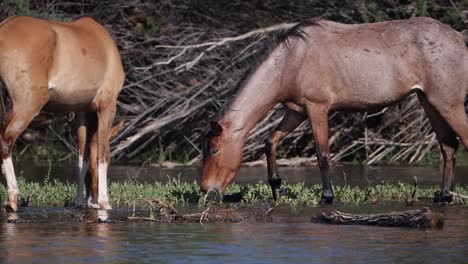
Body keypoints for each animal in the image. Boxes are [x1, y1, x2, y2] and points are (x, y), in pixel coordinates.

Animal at [0, 15, 124, 211]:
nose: (93, 198)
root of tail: (4, 28)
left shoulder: (82, 111)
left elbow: (83, 156)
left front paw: (80, 200)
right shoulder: (107, 106)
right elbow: (101, 154)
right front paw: (104, 202)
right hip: (28, 104)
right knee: (6, 139)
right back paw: (12, 197)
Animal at [201, 17, 468, 204]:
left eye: (214, 149)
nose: (206, 191)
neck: (292, 59)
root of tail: (460, 38)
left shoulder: (317, 108)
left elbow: (323, 154)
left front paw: (327, 196)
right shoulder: (296, 111)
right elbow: (270, 142)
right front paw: (276, 185)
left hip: (449, 105)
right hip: (429, 102)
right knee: (448, 146)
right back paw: (445, 195)